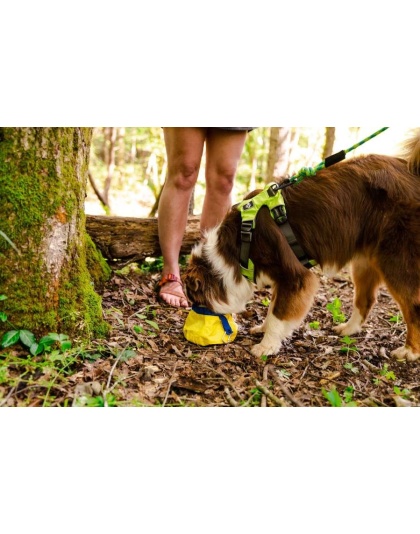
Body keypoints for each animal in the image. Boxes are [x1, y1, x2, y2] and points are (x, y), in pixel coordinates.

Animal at [183, 132, 420, 362]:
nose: (195, 315)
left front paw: (267, 345)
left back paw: (409, 351)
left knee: (413, 305)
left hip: (396, 260)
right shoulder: (282, 277)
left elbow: (278, 312)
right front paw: (263, 329)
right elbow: (273, 307)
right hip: (364, 260)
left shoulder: (294, 276)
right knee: (366, 299)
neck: (237, 244)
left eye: (195, 298)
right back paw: (348, 329)